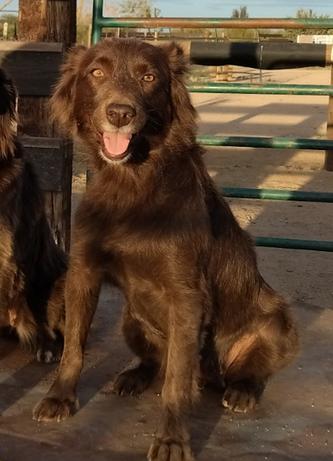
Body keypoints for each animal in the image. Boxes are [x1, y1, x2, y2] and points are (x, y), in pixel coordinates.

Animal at [33, 39, 298, 456]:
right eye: (96, 72)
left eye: (148, 77)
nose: (120, 113)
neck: (132, 183)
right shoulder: (82, 274)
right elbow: (73, 347)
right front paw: (59, 398)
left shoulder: (186, 296)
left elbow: (176, 381)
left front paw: (172, 439)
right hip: (131, 320)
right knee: (154, 361)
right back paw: (132, 377)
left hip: (278, 321)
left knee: (248, 370)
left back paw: (241, 392)